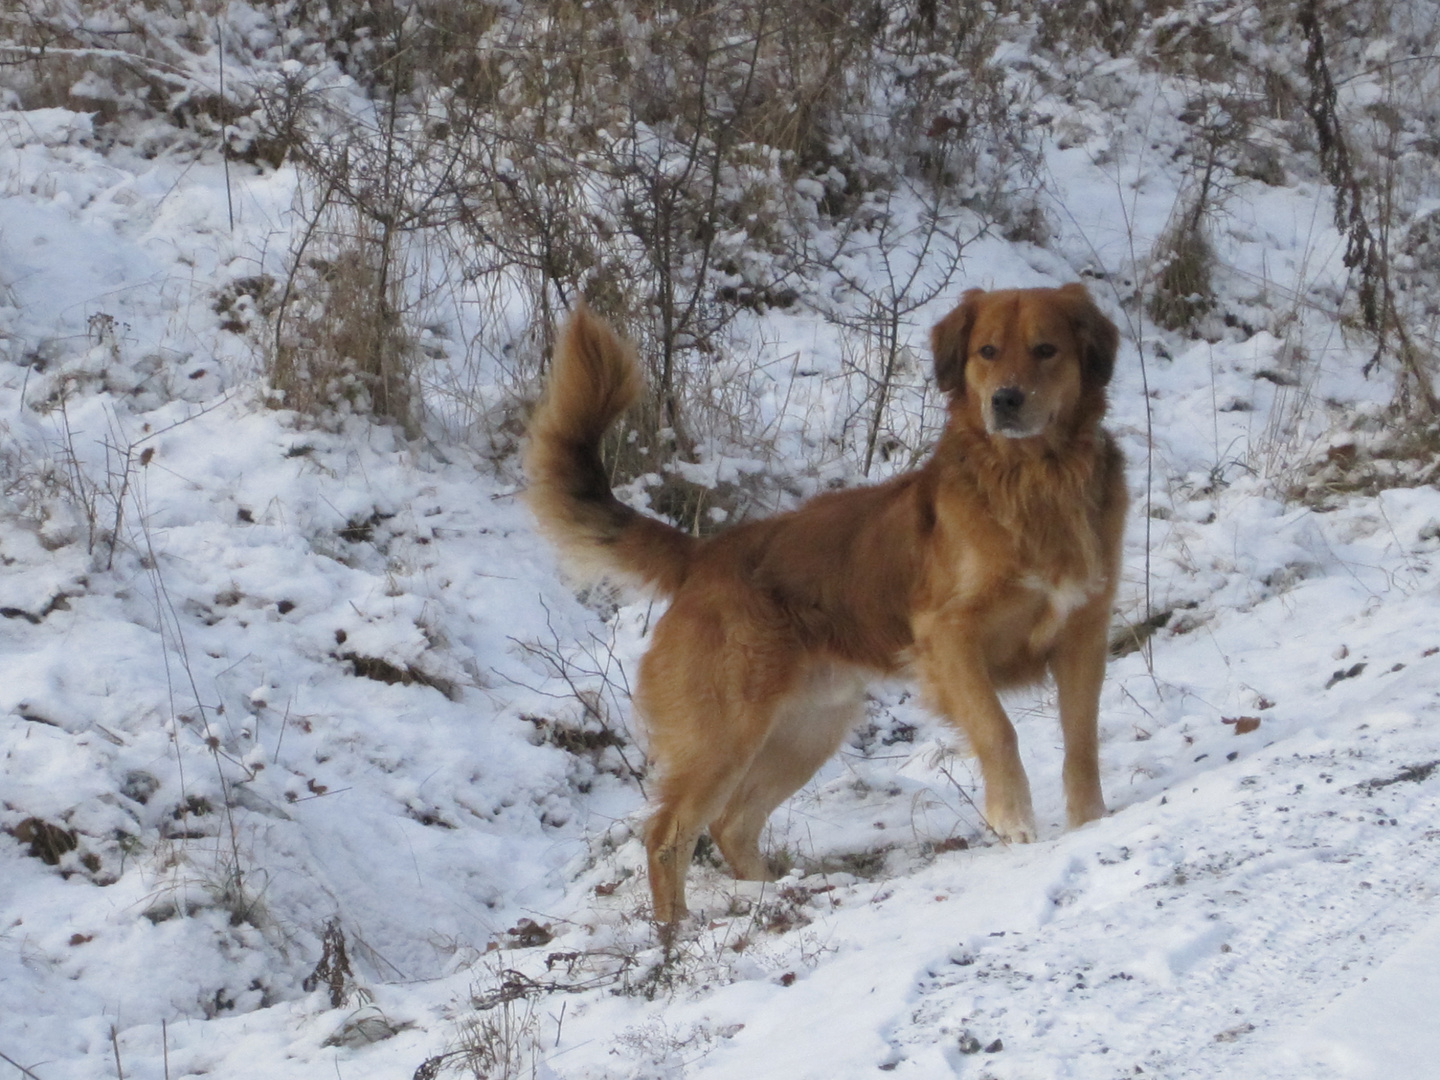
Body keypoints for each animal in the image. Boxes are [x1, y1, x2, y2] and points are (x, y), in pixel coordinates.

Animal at [527, 285, 1123, 921]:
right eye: (987, 351)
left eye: (1046, 350)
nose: (1005, 401)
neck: (1034, 480)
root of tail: (704, 555)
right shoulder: (947, 636)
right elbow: (997, 728)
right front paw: (1013, 820)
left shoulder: (1084, 633)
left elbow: (1082, 738)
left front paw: (1091, 821)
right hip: (726, 733)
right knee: (667, 835)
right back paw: (677, 932)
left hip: (806, 731)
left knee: (732, 824)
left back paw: (770, 895)